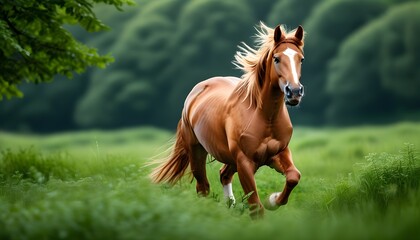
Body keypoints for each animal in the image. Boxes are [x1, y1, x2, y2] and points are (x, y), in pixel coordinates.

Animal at [151, 23, 306, 219]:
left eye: (301, 59)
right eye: (277, 59)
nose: (294, 92)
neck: (264, 116)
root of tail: (196, 92)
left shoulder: (279, 153)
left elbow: (293, 177)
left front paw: (273, 200)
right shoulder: (244, 162)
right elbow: (256, 207)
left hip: (230, 159)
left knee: (223, 175)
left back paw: (230, 206)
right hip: (197, 151)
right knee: (203, 187)